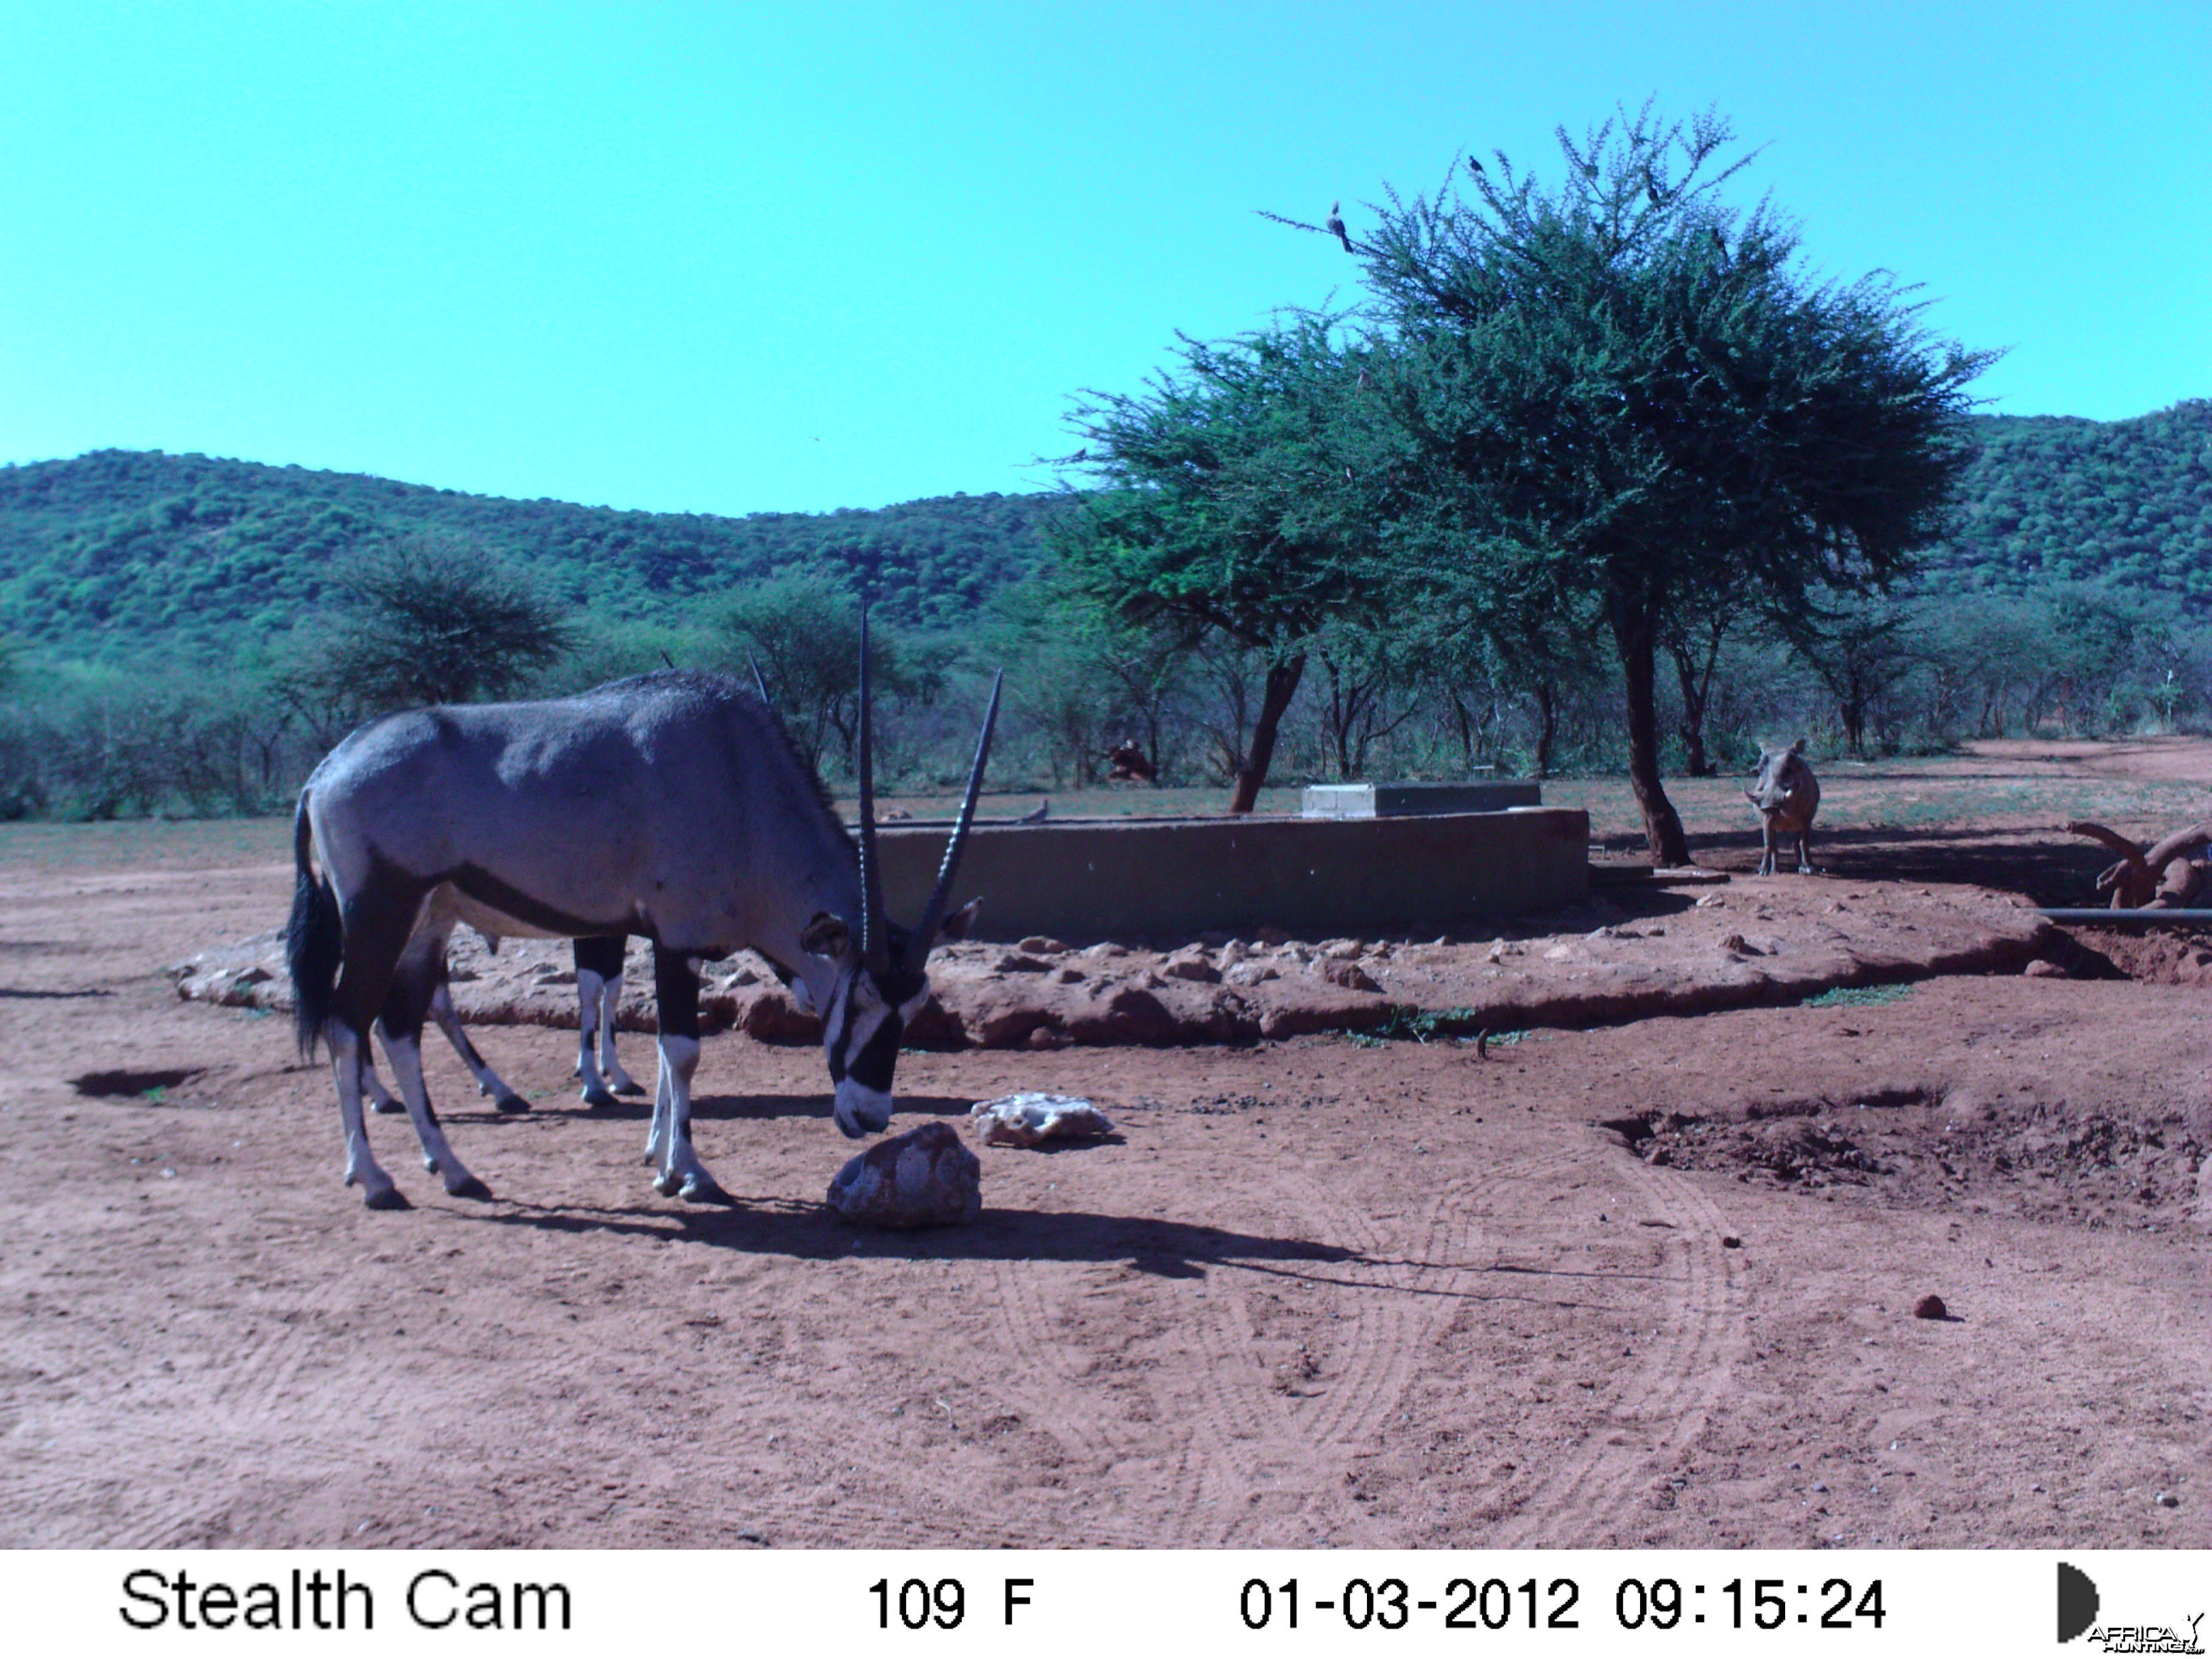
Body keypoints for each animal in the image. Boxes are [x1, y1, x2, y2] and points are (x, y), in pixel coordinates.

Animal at [289, 628, 1000, 1212]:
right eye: (860, 1000)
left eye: (913, 1008)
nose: (871, 1119)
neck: (740, 781)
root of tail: (325, 771)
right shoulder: (676, 940)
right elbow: (681, 1051)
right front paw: (690, 1174)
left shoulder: (662, 940)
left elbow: (659, 1048)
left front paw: (658, 1160)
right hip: (380, 915)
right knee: (346, 1022)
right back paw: (375, 1179)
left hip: (428, 922)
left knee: (400, 1027)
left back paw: (455, 1169)